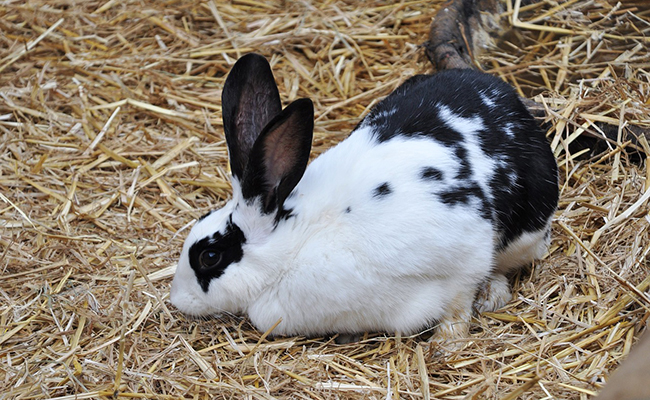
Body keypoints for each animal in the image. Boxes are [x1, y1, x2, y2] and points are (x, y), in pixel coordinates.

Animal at [168, 52, 556, 340]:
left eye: (209, 257)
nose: (176, 300)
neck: (296, 243)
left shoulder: (464, 255)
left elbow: (457, 304)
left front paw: (447, 344)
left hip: (525, 235)